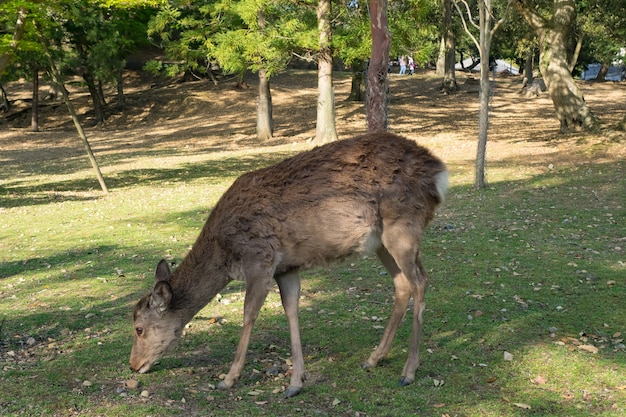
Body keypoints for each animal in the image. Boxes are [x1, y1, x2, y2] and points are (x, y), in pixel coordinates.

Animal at [129, 132, 446, 396]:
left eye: (139, 328)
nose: (133, 365)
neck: (224, 252)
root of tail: (439, 173)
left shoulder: (260, 258)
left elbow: (249, 314)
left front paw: (228, 379)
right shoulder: (286, 268)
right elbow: (291, 310)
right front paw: (296, 382)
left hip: (402, 227)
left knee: (420, 281)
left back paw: (408, 371)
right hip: (381, 243)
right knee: (403, 284)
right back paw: (374, 358)